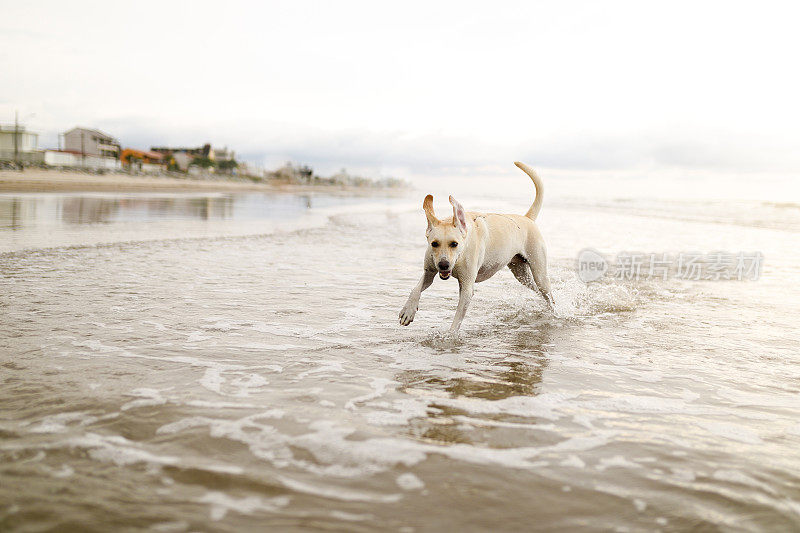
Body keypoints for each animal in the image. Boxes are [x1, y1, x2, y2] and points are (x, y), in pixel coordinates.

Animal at [398, 160, 552, 334]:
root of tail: (527, 218)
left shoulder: (467, 288)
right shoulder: (429, 271)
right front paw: (408, 311)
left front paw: (450, 336)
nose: (443, 265)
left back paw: (553, 312)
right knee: (537, 290)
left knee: (548, 293)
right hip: (521, 274)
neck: (459, 256)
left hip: (539, 272)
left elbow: (457, 319)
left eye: (454, 244)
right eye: (434, 243)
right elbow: (416, 288)